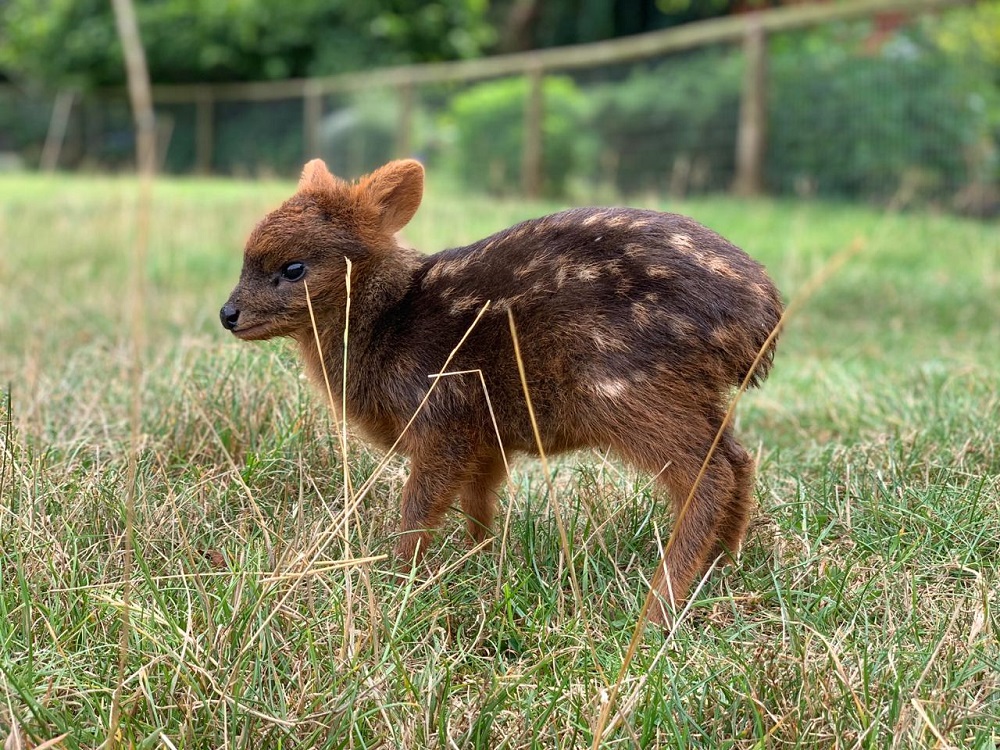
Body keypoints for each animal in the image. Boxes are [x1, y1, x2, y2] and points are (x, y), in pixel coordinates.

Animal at [221, 160, 780, 628]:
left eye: (293, 268)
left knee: (708, 474)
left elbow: (419, 503)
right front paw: (481, 559)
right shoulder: (484, 434)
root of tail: (762, 316)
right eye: (245, 259)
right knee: (738, 457)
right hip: (690, 391)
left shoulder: (443, 415)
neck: (388, 325)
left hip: (627, 387)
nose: (228, 315)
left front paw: (399, 575)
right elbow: (478, 499)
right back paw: (724, 564)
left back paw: (659, 607)